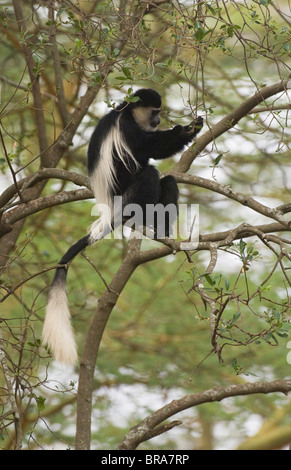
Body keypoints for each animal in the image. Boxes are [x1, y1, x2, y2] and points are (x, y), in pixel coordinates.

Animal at [42, 87, 204, 364]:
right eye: (154, 112)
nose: (158, 121)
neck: (125, 111)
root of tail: (110, 208)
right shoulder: (127, 129)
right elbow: (149, 148)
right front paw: (188, 129)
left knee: (169, 181)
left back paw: (161, 228)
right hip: (128, 193)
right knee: (149, 173)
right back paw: (142, 218)